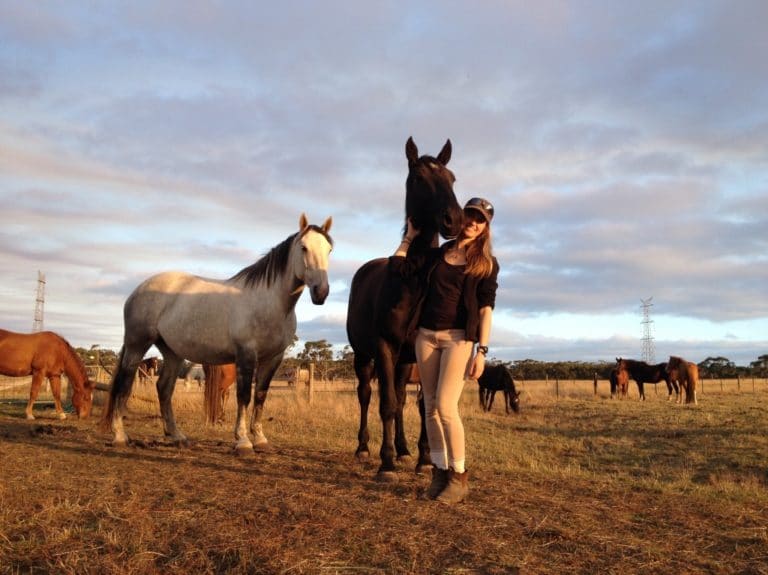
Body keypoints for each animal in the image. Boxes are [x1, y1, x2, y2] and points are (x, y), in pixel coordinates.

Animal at [102, 214, 332, 452]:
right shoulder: (246, 354)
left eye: (329, 249)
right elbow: (244, 396)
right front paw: (243, 441)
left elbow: (260, 395)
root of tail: (138, 290)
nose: (321, 292)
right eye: (304, 247)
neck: (269, 302)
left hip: (172, 352)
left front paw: (260, 438)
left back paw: (176, 436)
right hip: (137, 345)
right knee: (123, 385)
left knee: (164, 388)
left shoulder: (273, 358)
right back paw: (120, 436)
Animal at [346, 137, 464, 480]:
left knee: (400, 399)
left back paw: (403, 449)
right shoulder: (385, 347)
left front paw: (425, 459)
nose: (454, 220)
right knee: (366, 395)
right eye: (420, 179)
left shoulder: (420, 353)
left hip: (403, 362)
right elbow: (384, 404)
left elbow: (423, 405)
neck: (413, 282)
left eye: (452, 178)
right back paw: (364, 448)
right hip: (364, 356)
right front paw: (385, 464)